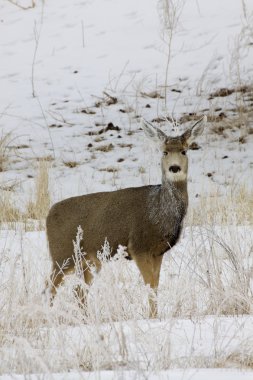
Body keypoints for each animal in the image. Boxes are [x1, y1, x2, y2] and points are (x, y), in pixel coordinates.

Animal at [45, 116, 207, 318]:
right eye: (164, 152)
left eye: (184, 151)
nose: (174, 168)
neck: (159, 212)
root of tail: (48, 215)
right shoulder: (138, 246)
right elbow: (149, 287)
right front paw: (152, 318)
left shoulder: (157, 252)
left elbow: (156, 286)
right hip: (62, 254)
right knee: (50, 287)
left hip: (87, 259)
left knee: (78, 290)